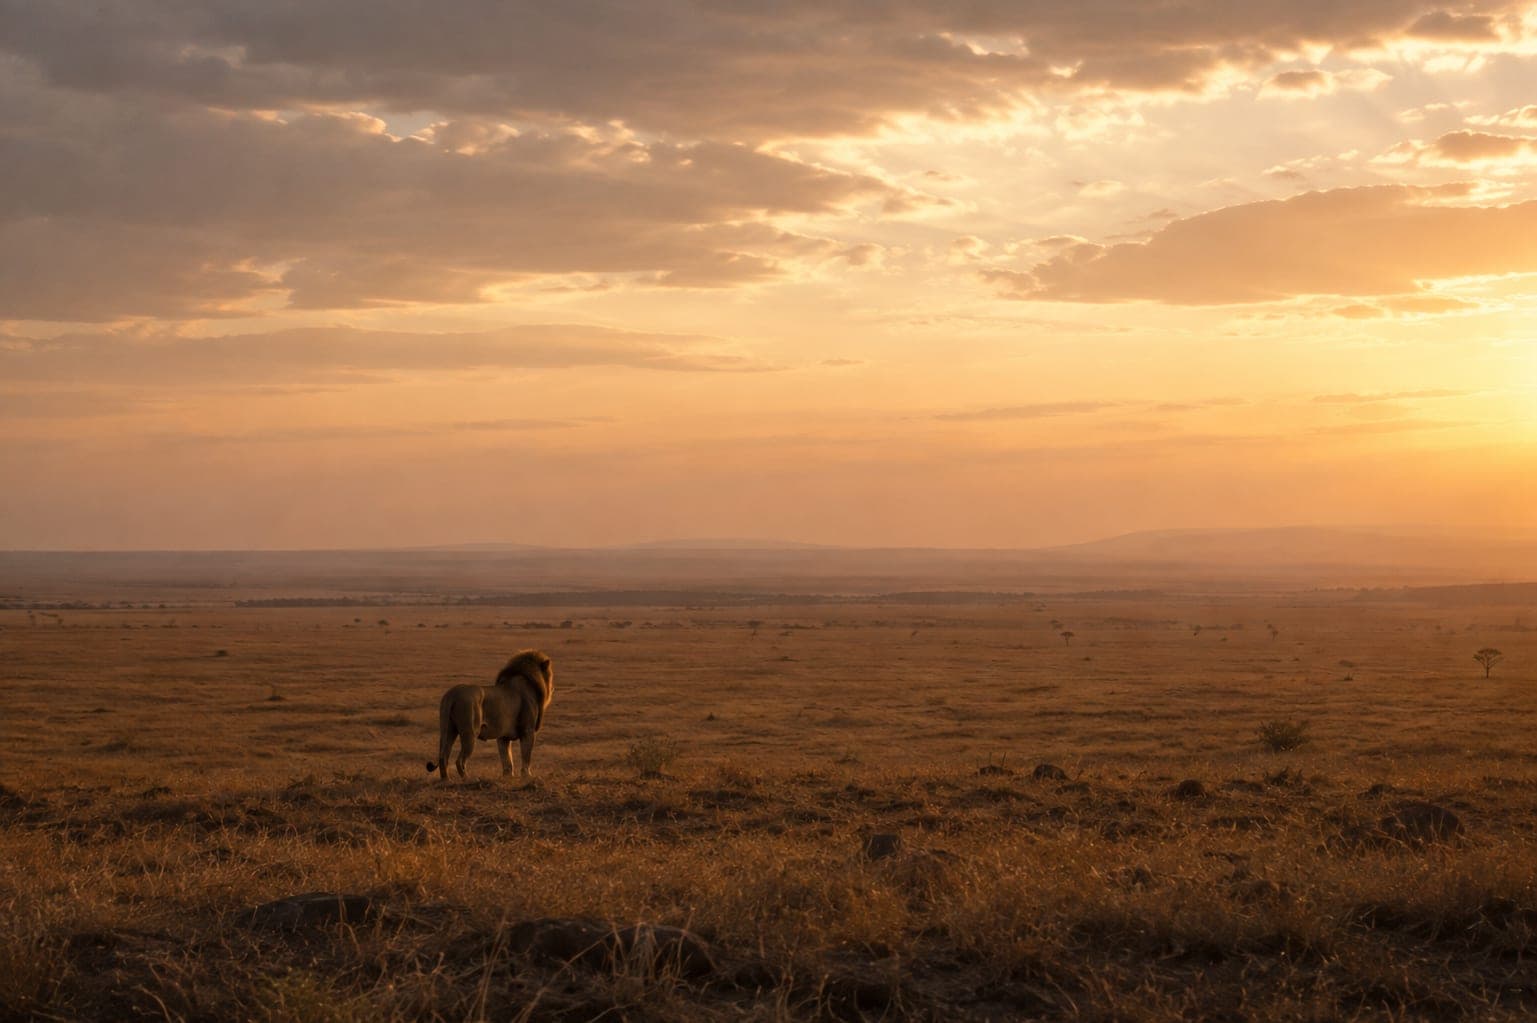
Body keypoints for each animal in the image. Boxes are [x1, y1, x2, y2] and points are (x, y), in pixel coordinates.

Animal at [426, 649, 554, 781]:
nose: (553, 688)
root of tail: (452, 695)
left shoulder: (503, 736)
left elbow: (507, 759)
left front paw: (508, 776)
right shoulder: (528, 731)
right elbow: (526, 756)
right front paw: (527, 775)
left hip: (448, 730)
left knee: (443, 757)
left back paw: (446, 780)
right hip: (470, 732)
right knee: (459, 761)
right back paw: (468, 778)